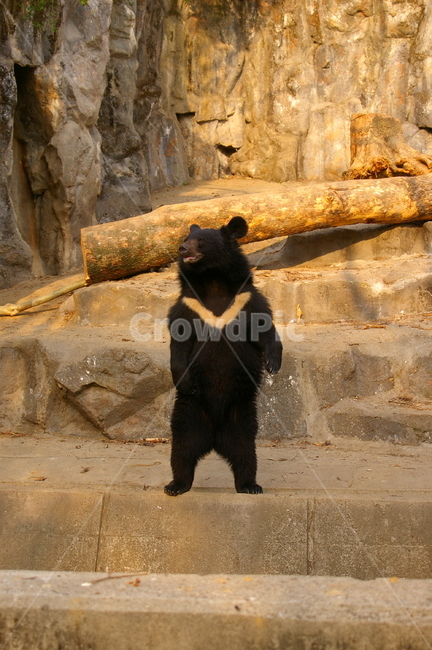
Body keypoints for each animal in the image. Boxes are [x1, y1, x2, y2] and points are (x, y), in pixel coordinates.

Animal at [164, 216, 282, 496]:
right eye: (185, 239)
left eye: (201, 240)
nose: (182, 249)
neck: (213, 280)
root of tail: (215, 437)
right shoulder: (188, 304)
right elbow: (179, 342)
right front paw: (183, 379)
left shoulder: (246, 299)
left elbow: (265, 327)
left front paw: (273, 364)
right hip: (189, 413)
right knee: (182, 450)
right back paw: (176, 485)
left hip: (241, 416)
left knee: (245, 453)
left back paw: (250, 485)